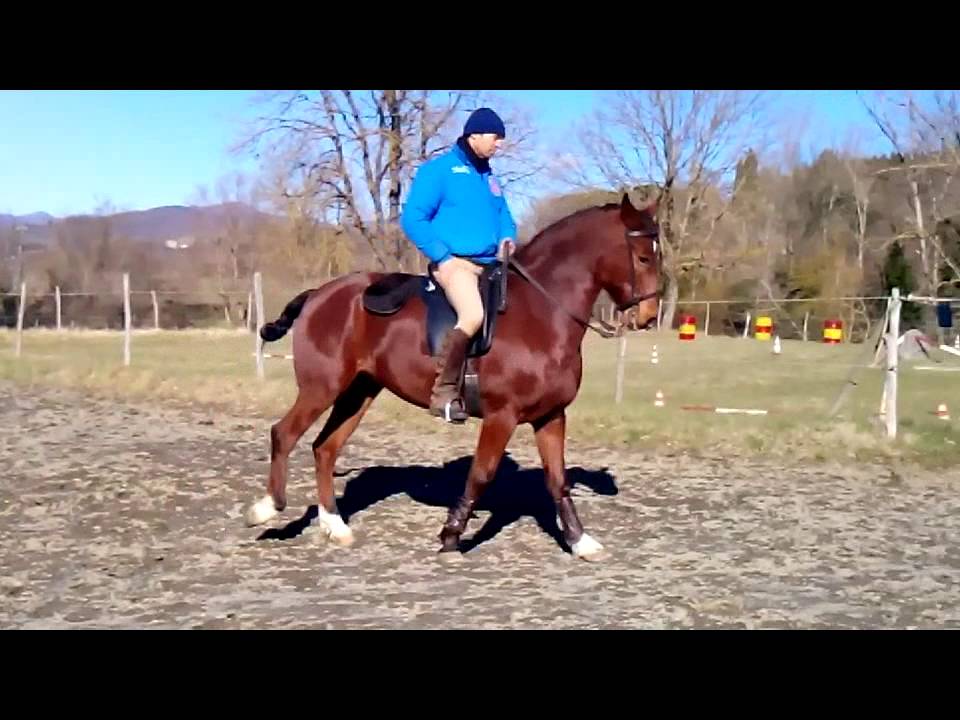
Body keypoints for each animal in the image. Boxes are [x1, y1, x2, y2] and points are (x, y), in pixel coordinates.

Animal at [244, 192, 662, 561]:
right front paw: (450, 536)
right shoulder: (501, 416)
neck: (542, 313)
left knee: (325, 448)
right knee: (284, 434)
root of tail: (320, 294)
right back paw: (267, 508)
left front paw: (579, 541)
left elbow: (556, 480)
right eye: (643, 256)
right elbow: (481, 474)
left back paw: (335, 525)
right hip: (322, 387)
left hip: (359, 392)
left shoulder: (551, 416)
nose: (649, 317)